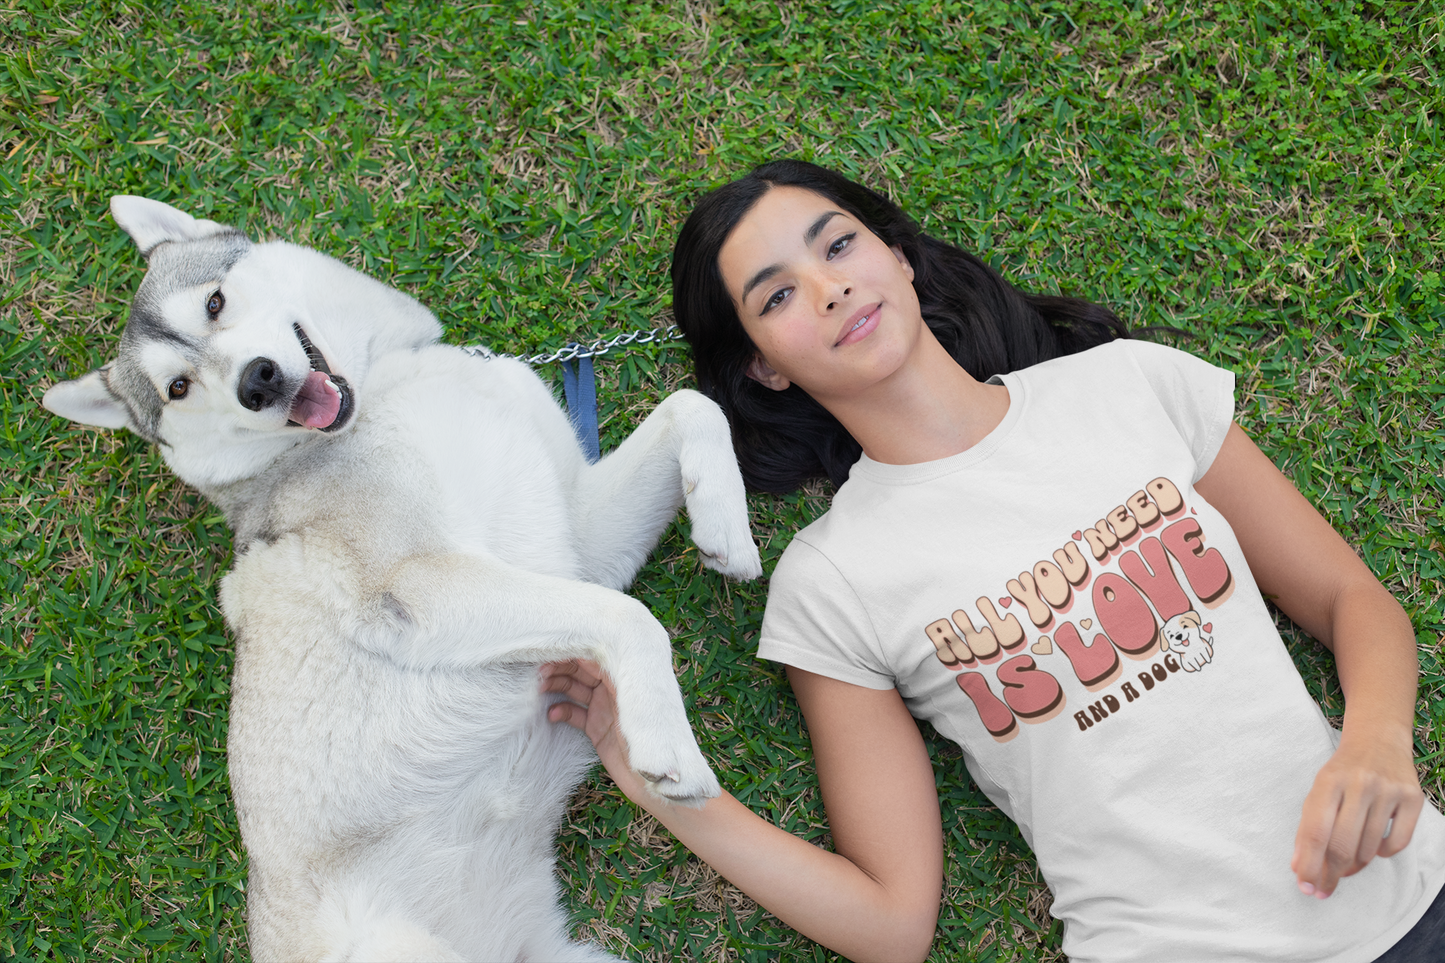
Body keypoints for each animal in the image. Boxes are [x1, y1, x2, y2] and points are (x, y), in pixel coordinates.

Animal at [42, 196, 768, 960]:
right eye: (178, 388)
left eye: (214, 302)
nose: (257, 381)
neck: (383, 381)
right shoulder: (420, 585)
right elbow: (631, 618)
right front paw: (667, 742)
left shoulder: (583, 543)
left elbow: (693, 405)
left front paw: (725, 526)